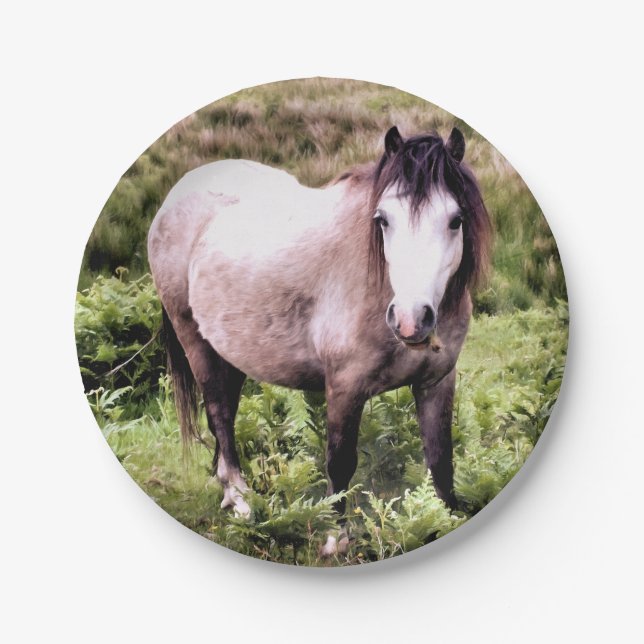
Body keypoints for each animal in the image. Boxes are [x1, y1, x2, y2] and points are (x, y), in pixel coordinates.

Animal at [147, 126, 491, 556]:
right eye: (383, 220)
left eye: (455, 219)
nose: (411, 320)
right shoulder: (344, 386)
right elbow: (340, 461)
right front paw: (334, 539)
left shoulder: (437, 382)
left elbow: (441, 459)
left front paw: (443, 521)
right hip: (194, 340)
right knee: (220, 415)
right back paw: (241, 500)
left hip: (231, 351)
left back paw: (227, 488)